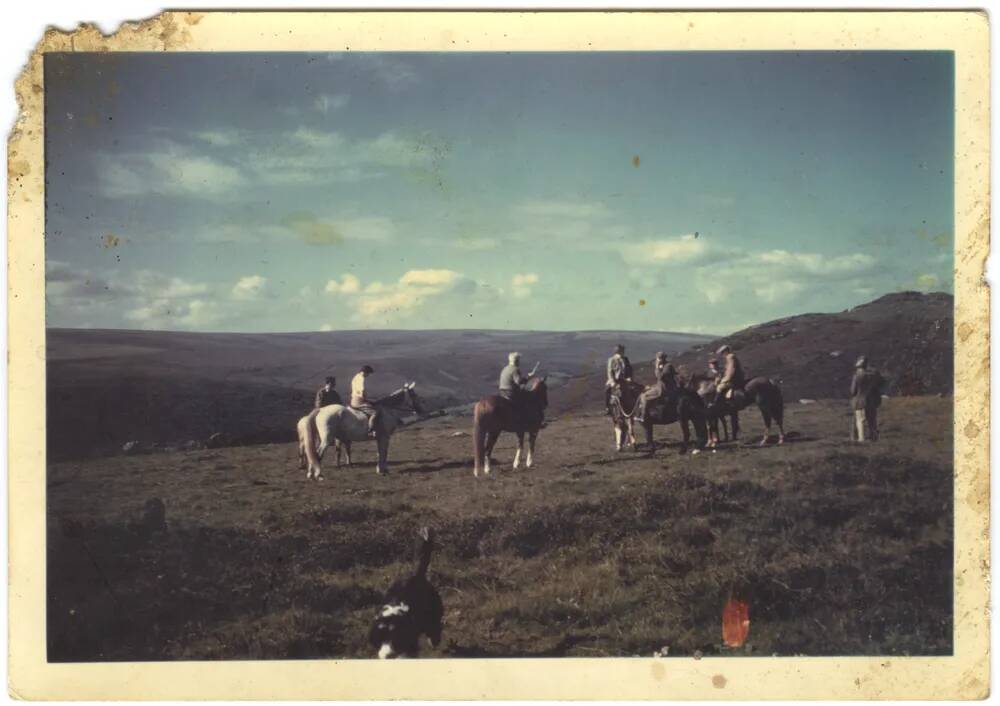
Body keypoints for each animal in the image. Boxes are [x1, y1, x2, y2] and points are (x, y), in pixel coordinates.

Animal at [370, 524, 444, 656]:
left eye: (397, 639)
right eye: (381, 638)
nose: (388, 655)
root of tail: (418, 575)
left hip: (433, 613)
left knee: (434, 629)